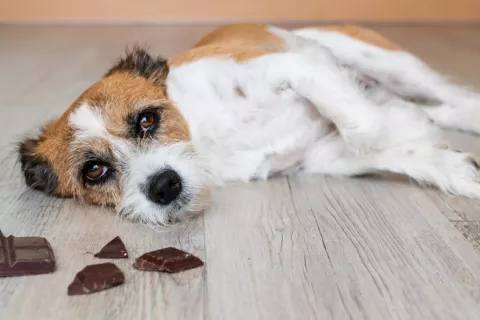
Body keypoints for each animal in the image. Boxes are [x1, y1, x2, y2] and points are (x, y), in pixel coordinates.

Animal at [18, 23, 480, 225]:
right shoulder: (319, 155)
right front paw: (455, 167)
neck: (205, 135)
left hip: (387, 62)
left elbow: (365, 125)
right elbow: (386, 148)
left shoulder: (297, 66)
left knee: (455, 97)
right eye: (94, 170)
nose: (164, 186)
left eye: (147, 119)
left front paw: (403, 123)